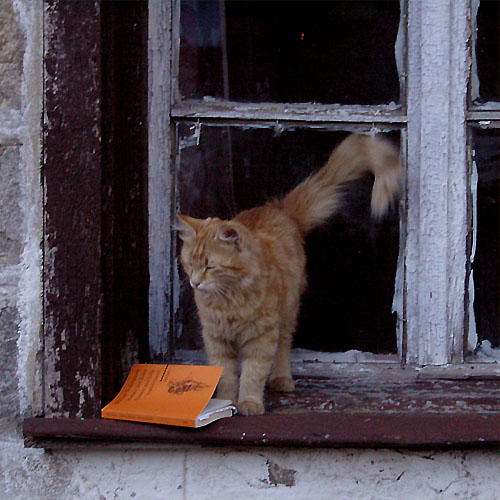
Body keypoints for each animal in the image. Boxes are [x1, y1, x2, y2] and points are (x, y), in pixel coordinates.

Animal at [176, 132, 402, 414]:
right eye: (189, 264)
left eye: (209, 266)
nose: (195, 283)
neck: (229, 299)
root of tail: (281, 210)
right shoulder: (216, 339)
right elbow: (226, 375)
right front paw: (226, 403)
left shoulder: (261, 337)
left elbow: (252, 373)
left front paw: (249, 402)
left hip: (287, 313)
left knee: (283, 347)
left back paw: (282, 379)